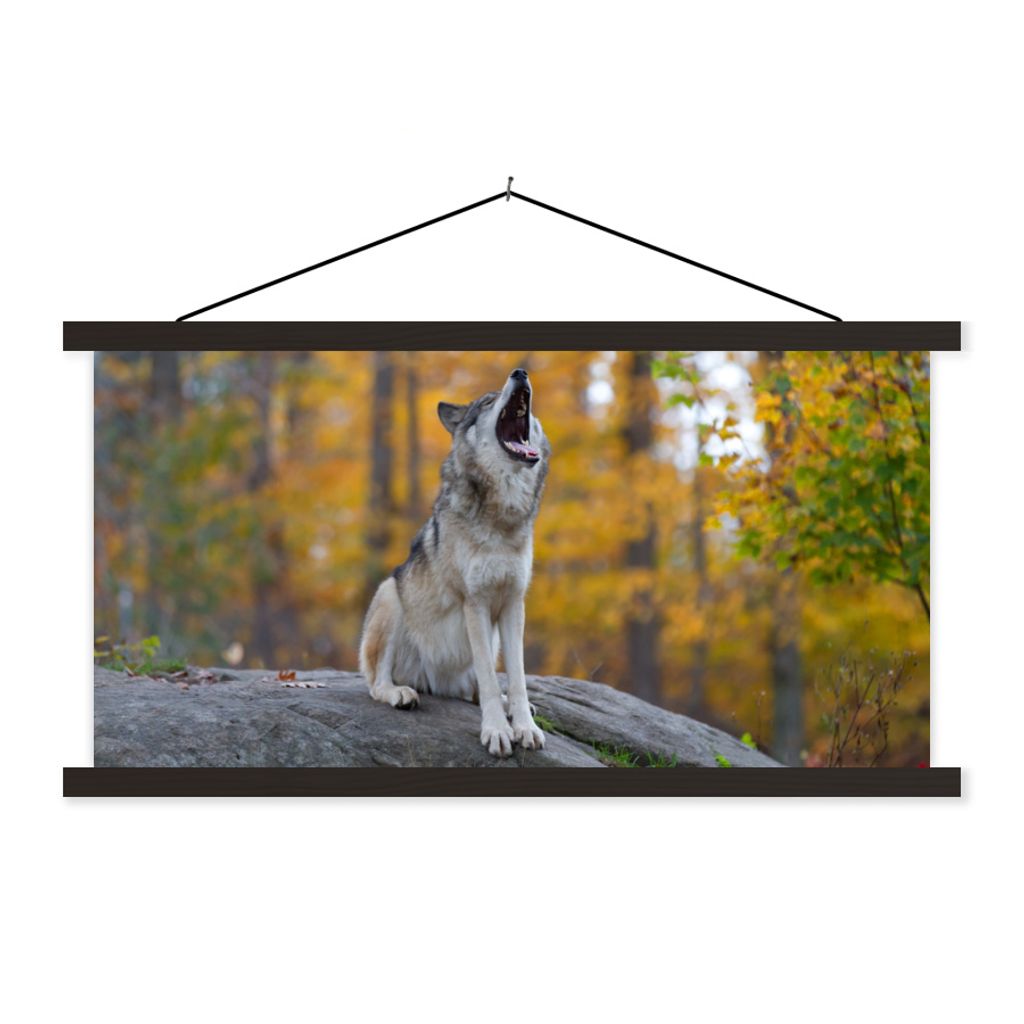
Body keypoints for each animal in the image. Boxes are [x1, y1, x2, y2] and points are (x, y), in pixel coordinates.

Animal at [358, 367, 551, 757]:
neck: (502, 516)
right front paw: (497, 731)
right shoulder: (474, 602)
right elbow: (491, 682)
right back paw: (401, 693)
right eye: (488, 402)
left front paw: (524, 726)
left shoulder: (513, 603)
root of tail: (438, 683)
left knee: (476, 689)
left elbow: (517, 678)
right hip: (390, 595)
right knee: (377, 684)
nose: (520, 372)